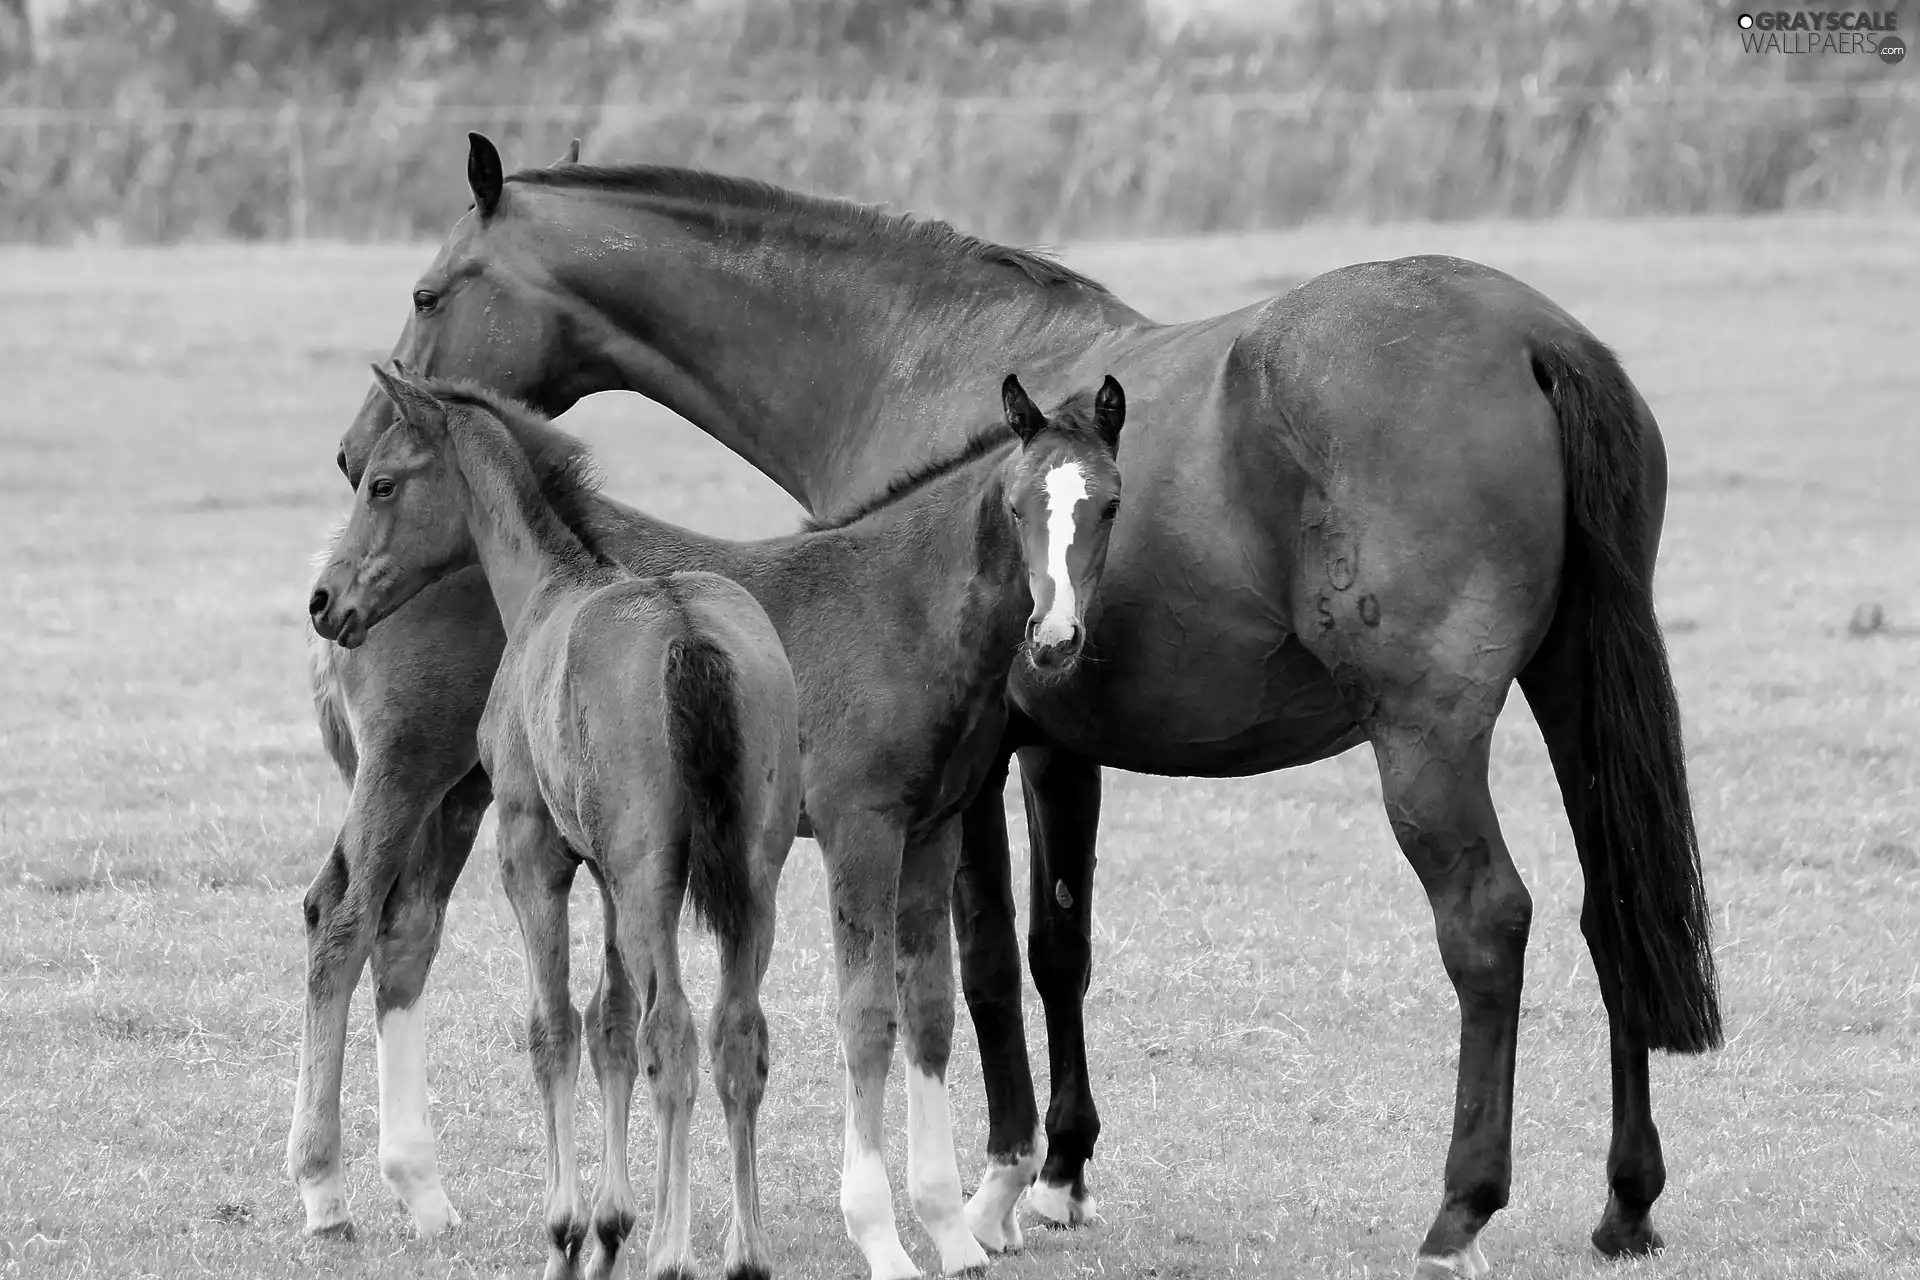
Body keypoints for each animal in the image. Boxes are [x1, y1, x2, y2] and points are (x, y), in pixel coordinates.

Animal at [309, 362, 802, 1280]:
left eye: (383, 482)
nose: (324, 600)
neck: (550, 586)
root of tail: (687, 631)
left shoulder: (531, 850)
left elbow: (554, 1029)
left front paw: (569, 1232)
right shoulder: (602, 872)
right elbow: (608, 1024)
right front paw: (610, 1226)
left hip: (651, 881)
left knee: (674, 1033)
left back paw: (674, 1252)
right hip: (752, 880)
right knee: (735, 1036)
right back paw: (743, 1253)